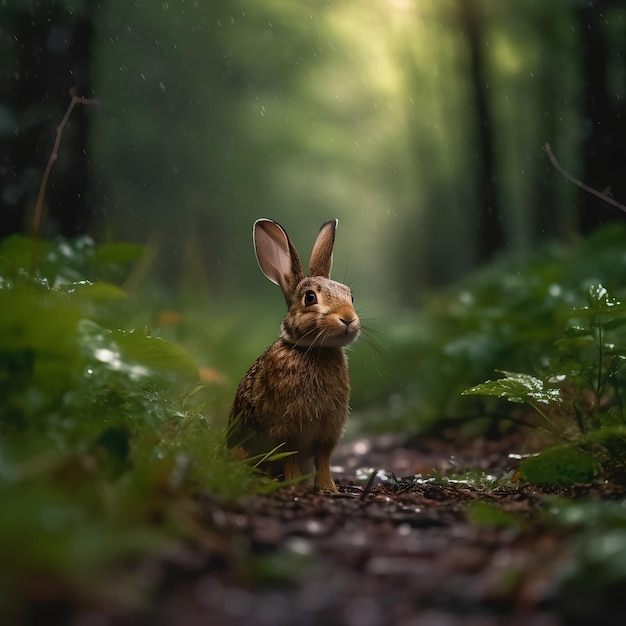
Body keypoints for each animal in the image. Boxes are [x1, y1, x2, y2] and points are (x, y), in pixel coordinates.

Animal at [227, 217, 358, 490]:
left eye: (350, 295)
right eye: (310, 298)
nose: (348, 319)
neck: (313, 350)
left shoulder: (328, 431)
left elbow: (323, 459)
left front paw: (328, 488)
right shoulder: (284, 429)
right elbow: (289, 457)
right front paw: (294, 486)